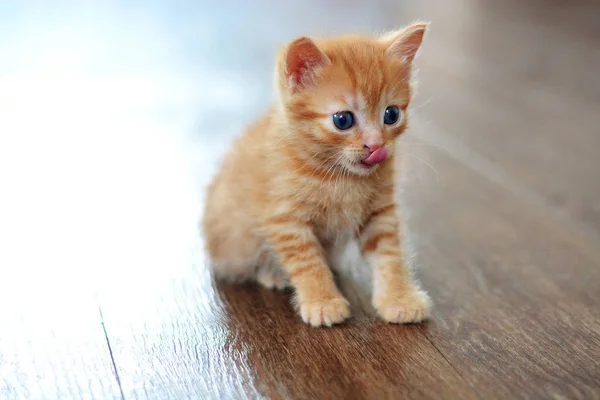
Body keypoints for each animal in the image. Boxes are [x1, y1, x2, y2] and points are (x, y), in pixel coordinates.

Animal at [202, 21, 432, 326]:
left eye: (391, 114)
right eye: (343, 120)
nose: (377, 147)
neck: (341, 176)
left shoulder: (381, 212)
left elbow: (390, 253)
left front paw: (399, 298)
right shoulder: (285, 219)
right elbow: (307, 262)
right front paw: (322, 301)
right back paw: (272, 273)